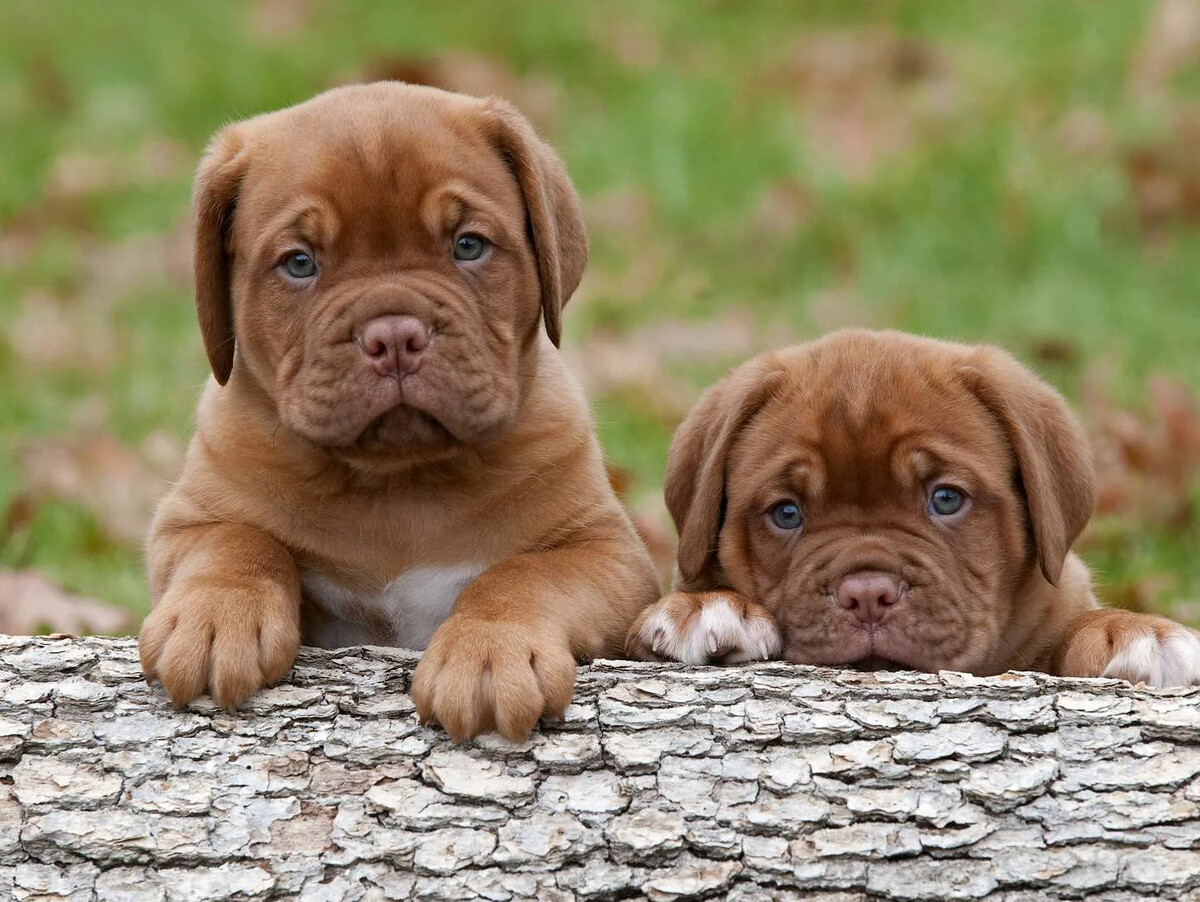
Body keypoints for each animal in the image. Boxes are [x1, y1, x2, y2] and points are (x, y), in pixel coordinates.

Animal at [145, 79, 662, 738]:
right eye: (299, 262)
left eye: (468, 245)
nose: (394, 336)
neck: (399, 481)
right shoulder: (187, 522)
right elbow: (236, 542)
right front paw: (215, 618)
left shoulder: (605, 553)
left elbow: (522, 577)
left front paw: (488, 652)